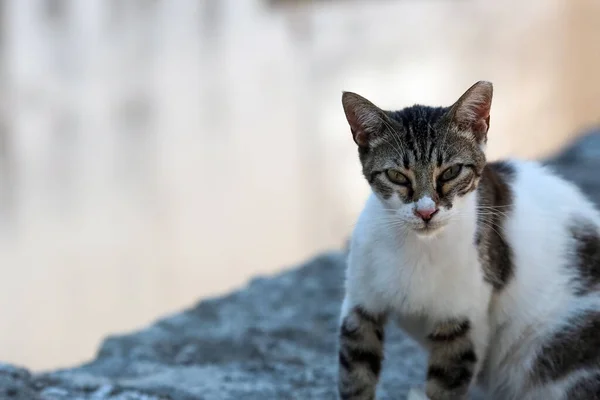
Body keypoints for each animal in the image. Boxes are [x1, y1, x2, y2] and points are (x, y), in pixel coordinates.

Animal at [336, 82, 600, 400]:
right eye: (397, 175)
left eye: (451, 171)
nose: (426, 211)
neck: (418, 247)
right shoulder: (360, 307)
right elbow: (355, 373)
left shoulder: (463, 324)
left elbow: (444, 384)